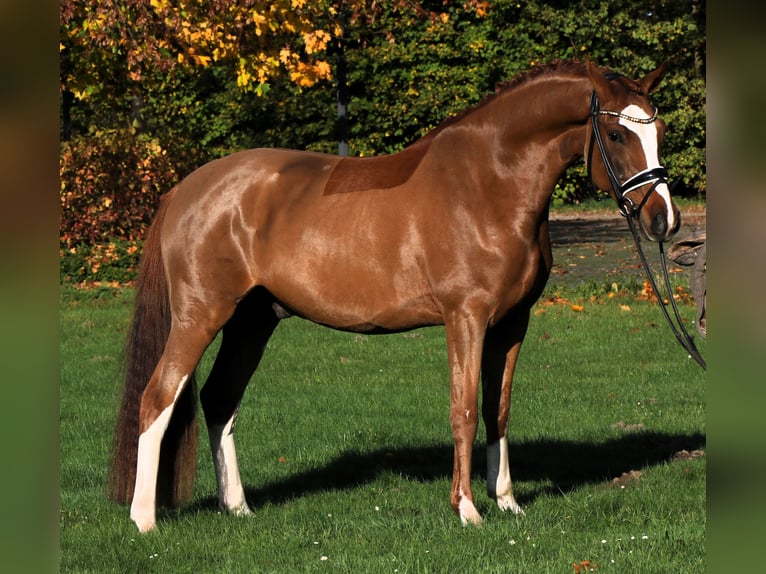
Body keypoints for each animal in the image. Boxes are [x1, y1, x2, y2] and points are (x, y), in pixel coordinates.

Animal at [106, 60, 680, 532]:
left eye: (660, 131)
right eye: (615, 133)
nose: (664, 220)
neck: (488, 182)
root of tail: (184, 191)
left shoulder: (513, 323)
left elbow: (498, 410)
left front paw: (508, 502)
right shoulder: (466, 317)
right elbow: (463, 408)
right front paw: (467, 508)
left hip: (252, 321)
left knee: (219, 399)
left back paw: (238, 508)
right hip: (200, 315)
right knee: (158, 397)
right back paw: (144, 520)